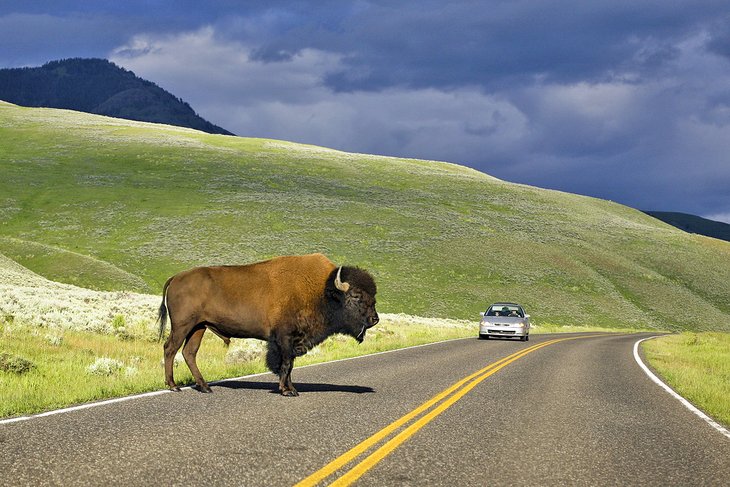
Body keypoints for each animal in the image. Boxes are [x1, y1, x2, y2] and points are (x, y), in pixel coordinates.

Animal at [157, 255, 378, 396]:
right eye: (356, 296)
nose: (374, 319)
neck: (323, 291)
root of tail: (176, 278)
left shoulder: (292, 340)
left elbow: (288, 365)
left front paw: (291, 388)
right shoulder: (285, 338)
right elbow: (286, 364)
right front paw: (287, 391)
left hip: (199, 327)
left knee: (189, 352)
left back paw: (205, 387)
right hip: (183, 326)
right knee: (170, 349)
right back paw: (174, 386)